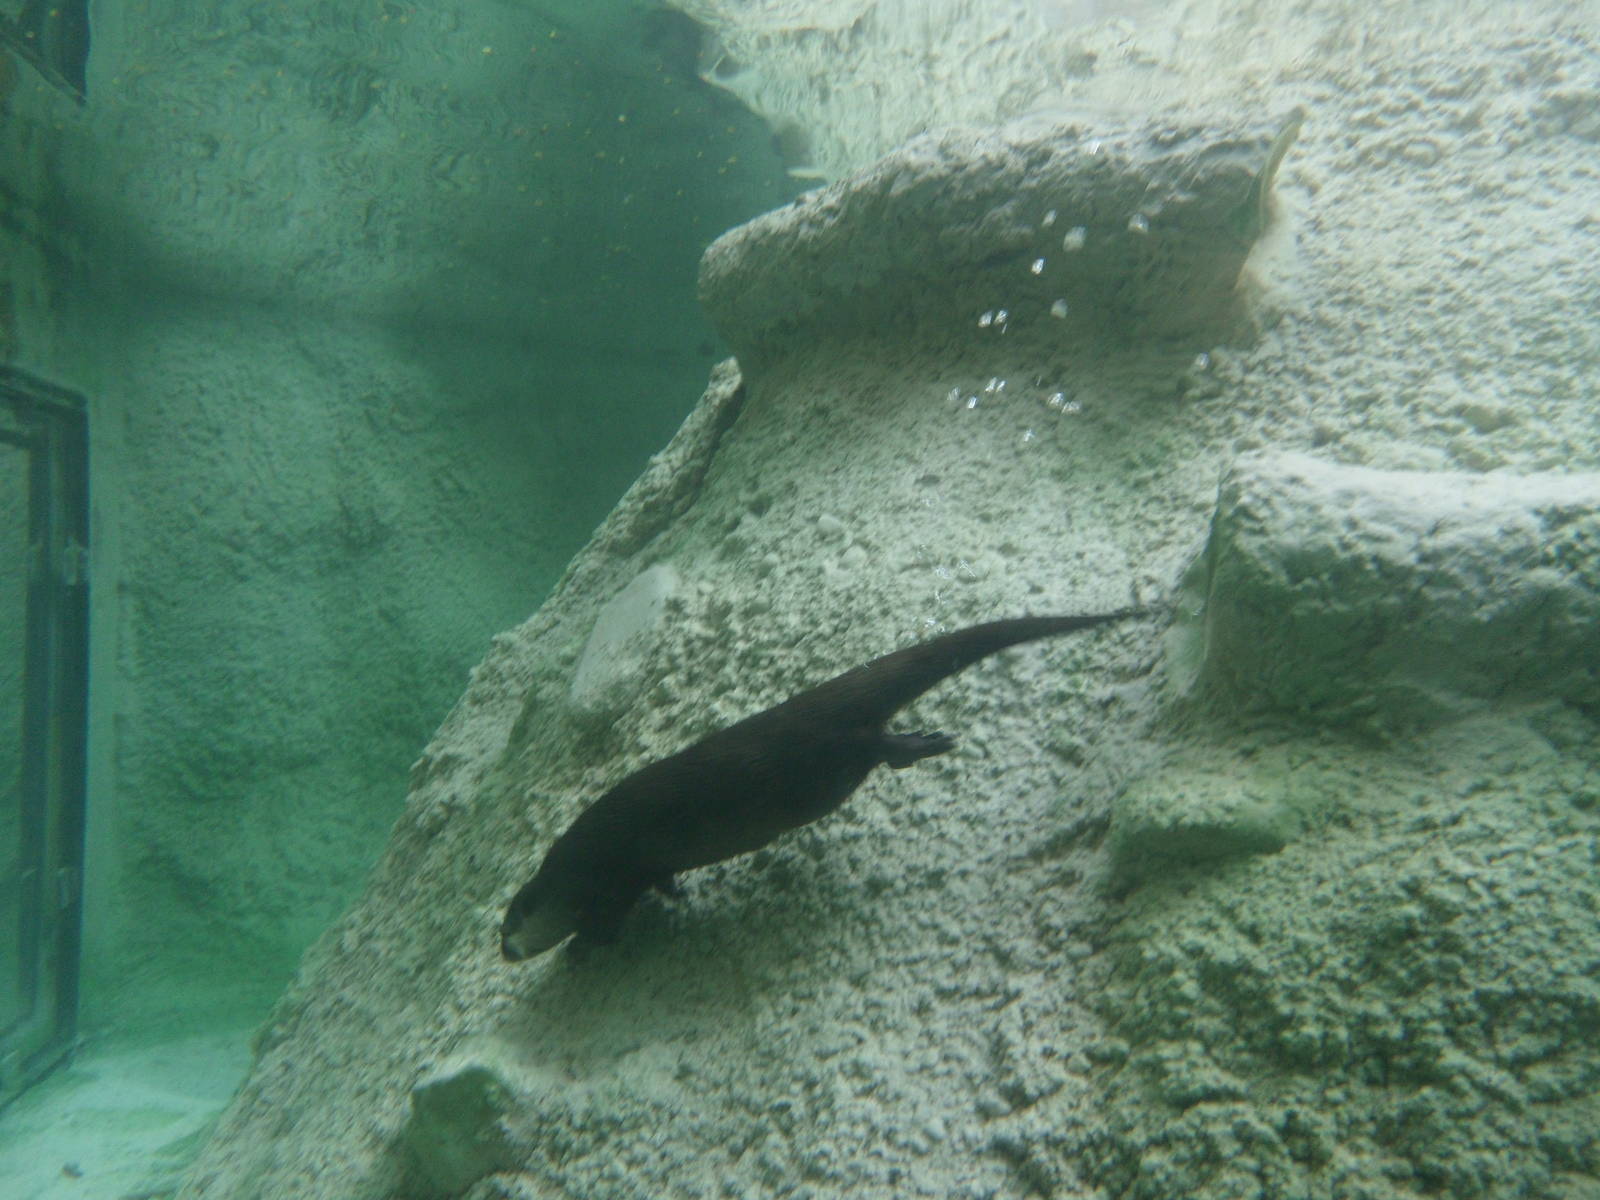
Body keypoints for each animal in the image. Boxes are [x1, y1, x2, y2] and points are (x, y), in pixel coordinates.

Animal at [500, 611, 1135, 960]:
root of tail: (803, 709)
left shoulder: (607, 879)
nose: (506, 955)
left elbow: (608, 920)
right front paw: (675, 894)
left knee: (867, 746)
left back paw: (923, 745)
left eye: (505, 931)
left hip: (814, 765)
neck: (571, 872)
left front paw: (579, 949)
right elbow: (662, 880)